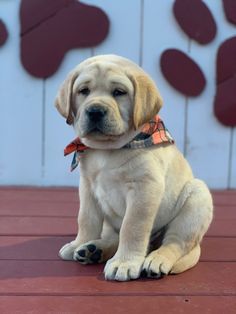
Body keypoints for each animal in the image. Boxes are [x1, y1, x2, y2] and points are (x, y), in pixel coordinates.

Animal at [55, 54, 214, 282]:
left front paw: (125, 263)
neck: (107, 149)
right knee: (113, 236)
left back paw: (156, 260)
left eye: (119, 92)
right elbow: (86, 219)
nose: (95, 111)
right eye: (83, 91)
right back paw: (93, 249)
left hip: (196, 199)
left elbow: (132, 227)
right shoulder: (87, 186)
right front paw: (80, 242)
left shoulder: (144, 188)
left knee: (173, 243)